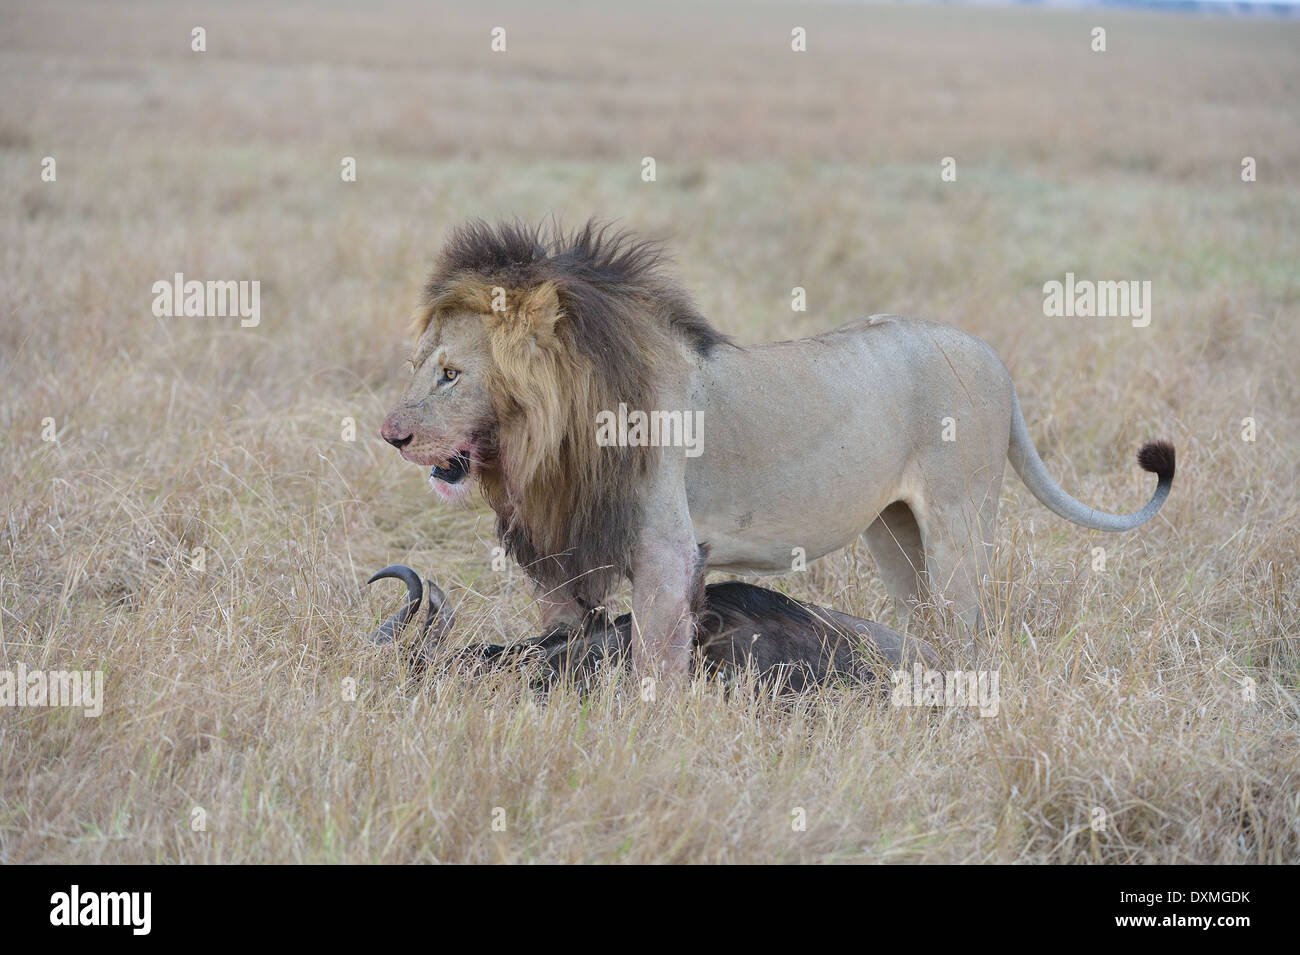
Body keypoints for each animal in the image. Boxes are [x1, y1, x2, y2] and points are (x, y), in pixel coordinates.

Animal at [380, 220, 1175, 676]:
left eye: (451, 374)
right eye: (417, 364)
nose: (392, 433)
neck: (550, 440)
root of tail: (994, 362)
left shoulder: (667, 551)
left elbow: (653, 666)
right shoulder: (559, 557)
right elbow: (569, 641)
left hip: (959, 518)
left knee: (968, 628)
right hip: (896, 530)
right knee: (928, 623)